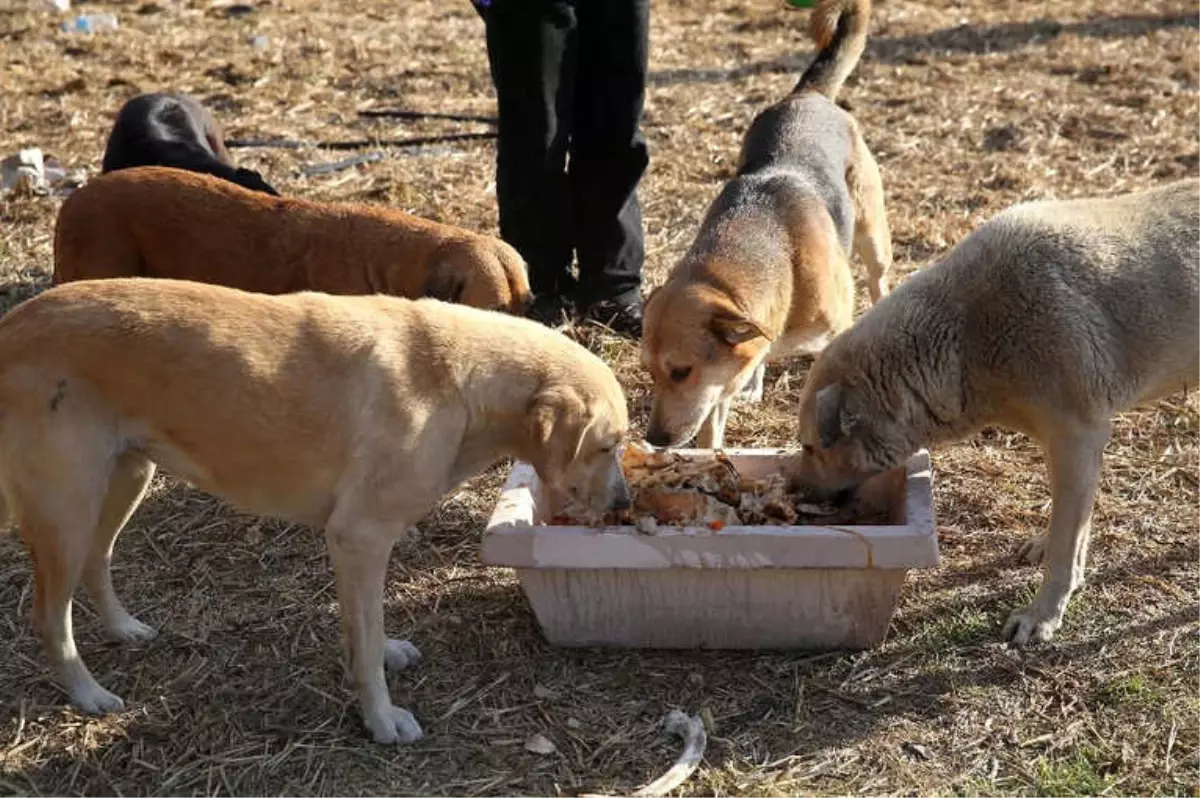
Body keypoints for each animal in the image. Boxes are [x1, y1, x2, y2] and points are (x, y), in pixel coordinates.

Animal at [0, 277, 633, 744]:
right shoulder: (360, 537)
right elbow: (367, 643)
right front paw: (382, 721)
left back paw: (124, 628)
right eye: (608, 446)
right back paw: (88, 694)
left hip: (126, 479)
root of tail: (13, 325)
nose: (626, 505)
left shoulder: (353, 548)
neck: (456, 381)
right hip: (66, 511)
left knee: (98, 563)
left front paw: (381, 659)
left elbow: (364, 630)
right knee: (49, 616)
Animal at [648, 0, 892, 448]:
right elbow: (716, 416)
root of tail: (808, 94)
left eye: (681, 371)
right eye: (649, 372)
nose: (654, 438)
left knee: (878, 279)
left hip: (872, 235)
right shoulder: (724, 377)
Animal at [787, 178, 1200, 643]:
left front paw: (1043, 615)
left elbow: (1066, 543)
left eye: (810, 446)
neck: (965, 340)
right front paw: (1050, 549)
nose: (792, 490)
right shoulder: (1068, 446)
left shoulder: (1079, 437)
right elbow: (1069, 524)